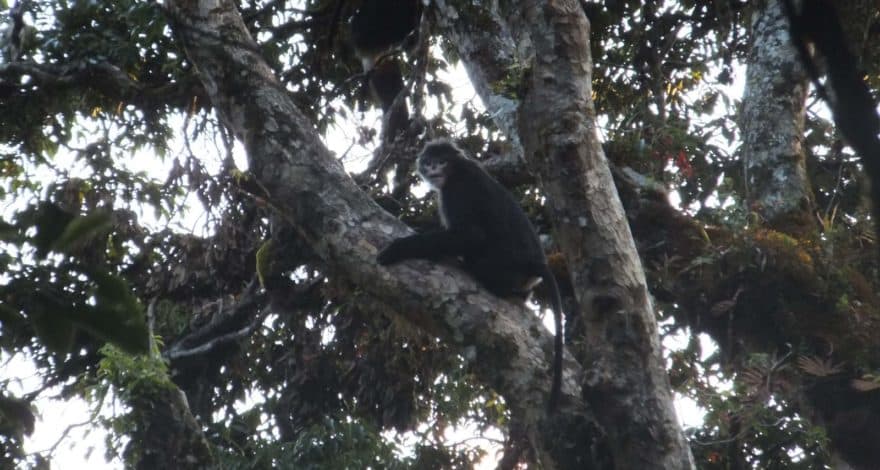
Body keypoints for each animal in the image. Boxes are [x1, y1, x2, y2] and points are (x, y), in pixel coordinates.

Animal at [377, 140, 565, 413]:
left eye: (441, 161)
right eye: (429, 162)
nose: (433, 168)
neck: (456, 169)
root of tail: (534, 264)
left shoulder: (457, 188)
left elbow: (472, 234)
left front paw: (399, 248)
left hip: (498, 264)